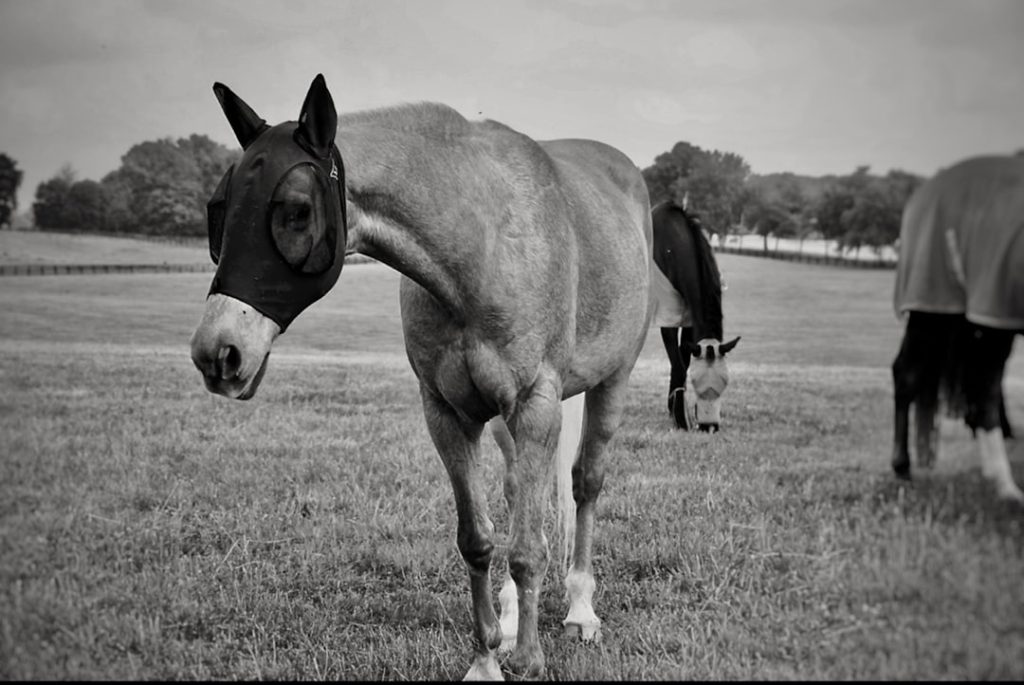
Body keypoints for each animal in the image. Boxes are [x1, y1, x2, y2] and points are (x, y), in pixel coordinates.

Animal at [189, 74, 652, 679]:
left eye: (296, 210)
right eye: (217, 209)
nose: (218, 352)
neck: (480, 245)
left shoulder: (535, 406)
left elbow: (527, 549)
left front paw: (529, 661)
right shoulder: (448, 414)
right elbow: (478, 540)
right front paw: (487, 659)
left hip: (611, 383)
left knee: (585, 484)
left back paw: (579, 609)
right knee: (516, 492)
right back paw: (511, 618)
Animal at [650, 200, 740, 432]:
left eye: (724, 382)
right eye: (696, 384)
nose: (710, 427)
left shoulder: (689, 321)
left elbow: (683, 359)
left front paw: (674, 408)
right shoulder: (668, 319)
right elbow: (679, 365)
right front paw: (680, 416)